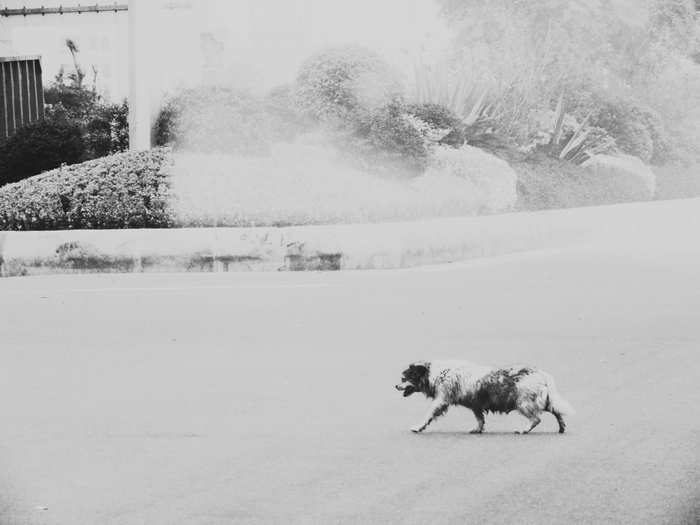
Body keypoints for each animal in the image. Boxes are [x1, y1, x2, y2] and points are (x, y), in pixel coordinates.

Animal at [396, 360, 576, 434]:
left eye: (403, 378)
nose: (395, 386)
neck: (434, 374)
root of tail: (541, 373)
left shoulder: (441, 401)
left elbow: (428, 416)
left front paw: (418, 427)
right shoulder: (476, 405)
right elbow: (480, 419)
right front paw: (478, 429)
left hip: (524, 403)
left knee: (536, 419)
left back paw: (523, 430)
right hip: (543, 400)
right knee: (557, 412)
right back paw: (561, 427)